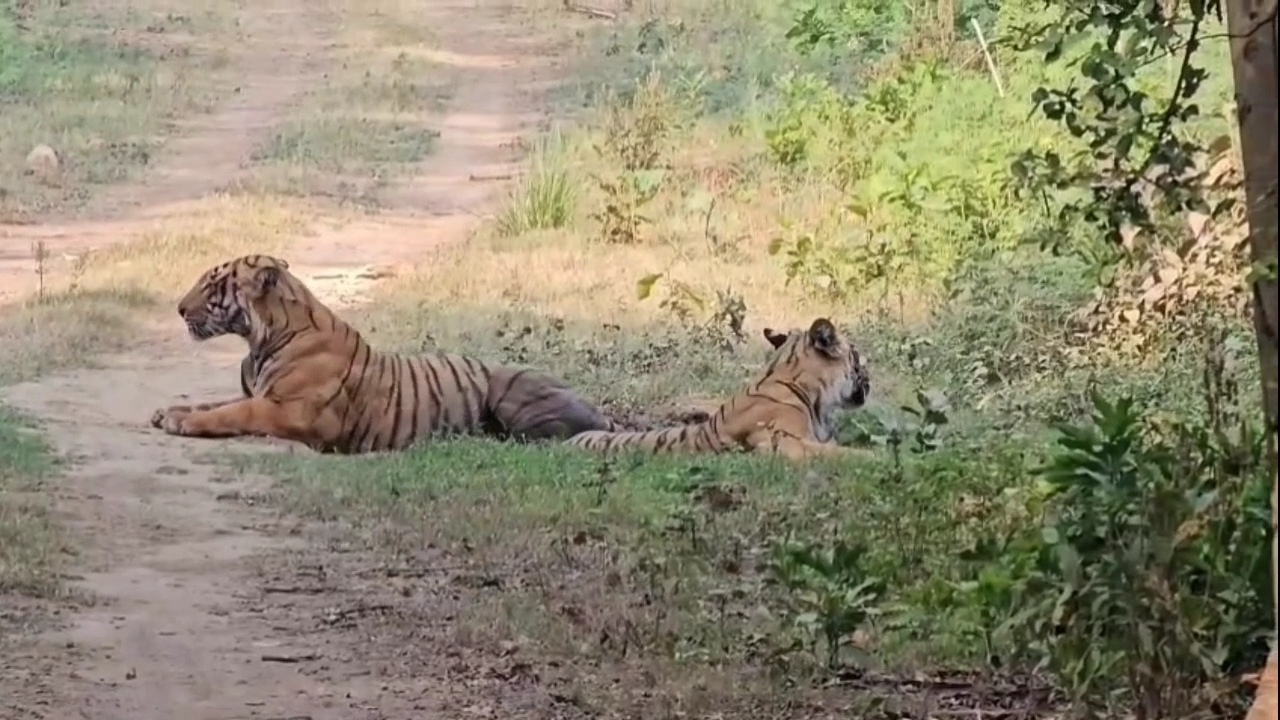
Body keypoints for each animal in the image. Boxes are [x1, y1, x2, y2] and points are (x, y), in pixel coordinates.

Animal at [149, 254, 620, 454]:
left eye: (213, 285)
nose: (178, 308)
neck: (260, 339)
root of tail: (603, 414)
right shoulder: (263, 393)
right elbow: (218, 401)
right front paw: (169, 411)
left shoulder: (293, 410)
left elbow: (234, 411)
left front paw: (182, 422)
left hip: (510, 388)